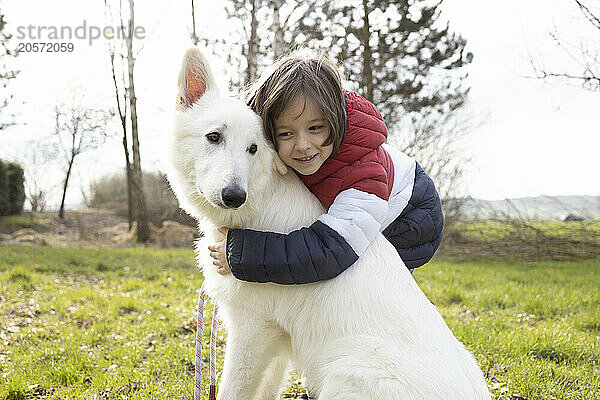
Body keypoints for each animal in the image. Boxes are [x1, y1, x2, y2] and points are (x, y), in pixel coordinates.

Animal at [165, 47, 492, 400]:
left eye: (252, 149)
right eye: (214, 137)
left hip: (345, 368)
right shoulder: (276, 340)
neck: (260, 199)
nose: (234, 196)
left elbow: (232, 390)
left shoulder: (252, 329)